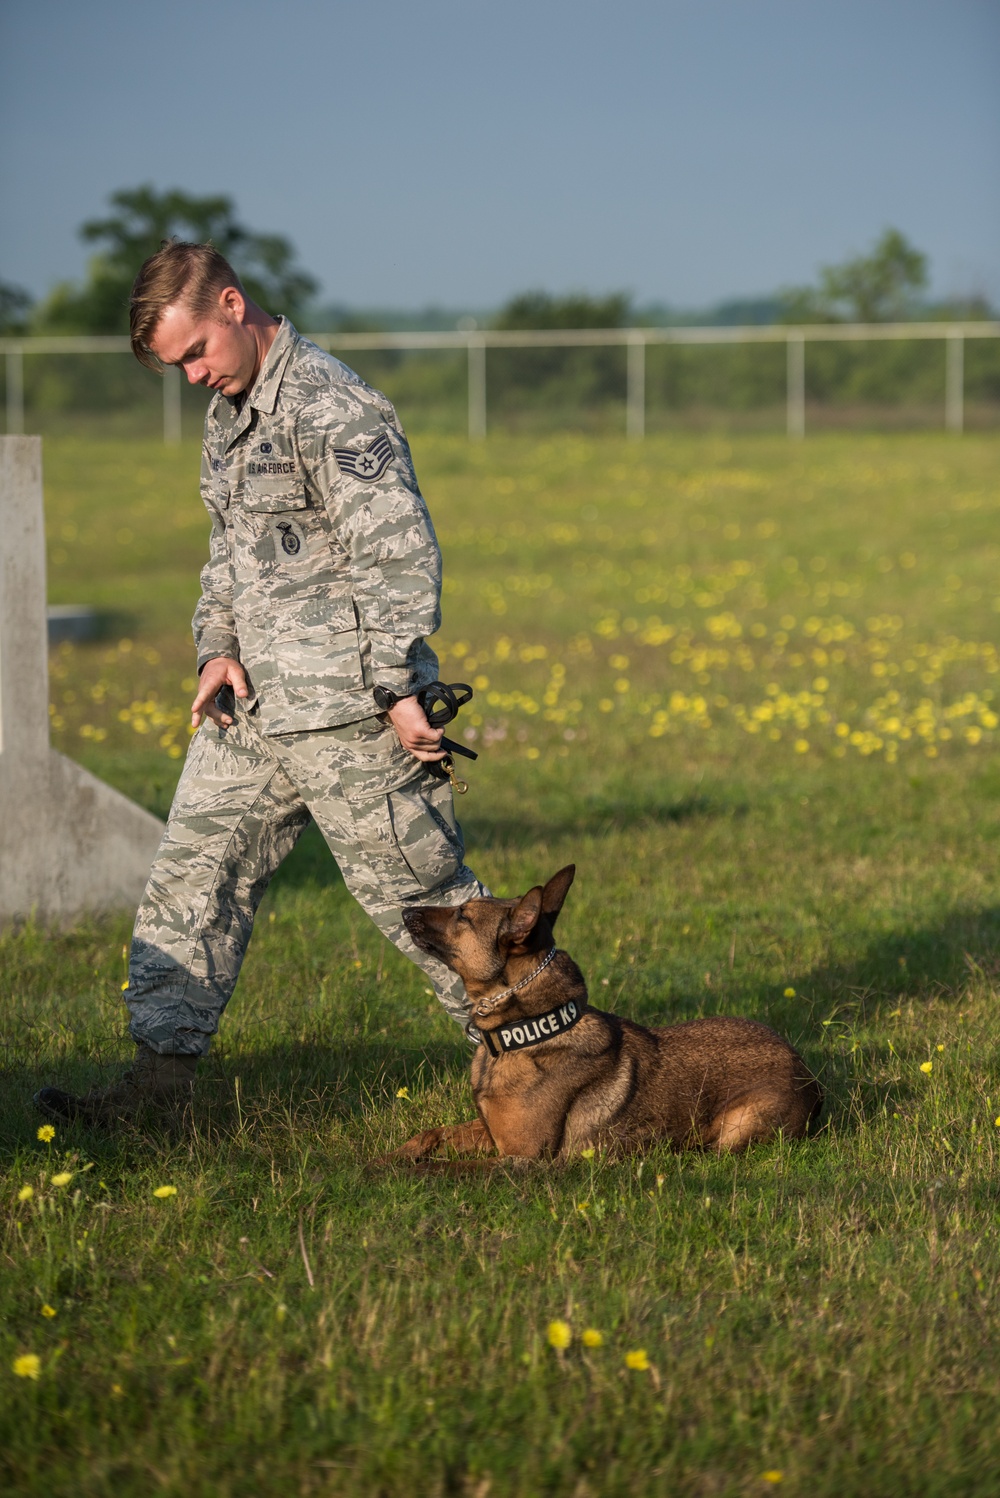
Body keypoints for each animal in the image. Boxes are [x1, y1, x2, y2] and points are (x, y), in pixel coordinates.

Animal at [395, 862, 826, 1162]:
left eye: (462, 916)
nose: (405, 912)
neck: (528, 1030)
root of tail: (808, 1073)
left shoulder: (522, 1159)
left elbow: (443, 1169)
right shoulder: (490, 1133)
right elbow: (430, 1135)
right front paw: (392, 1157)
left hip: (738, 1124)